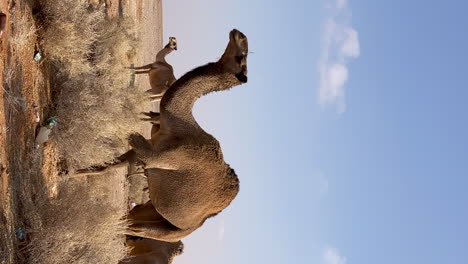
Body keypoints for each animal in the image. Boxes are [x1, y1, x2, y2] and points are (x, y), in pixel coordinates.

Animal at [124, 28, 249, 241]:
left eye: (241, 58)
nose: (239, 33)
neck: (180, 124)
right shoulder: (150, 145)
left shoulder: (155, 156)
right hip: (155, 212)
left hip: (173, 231)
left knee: (134, 228)